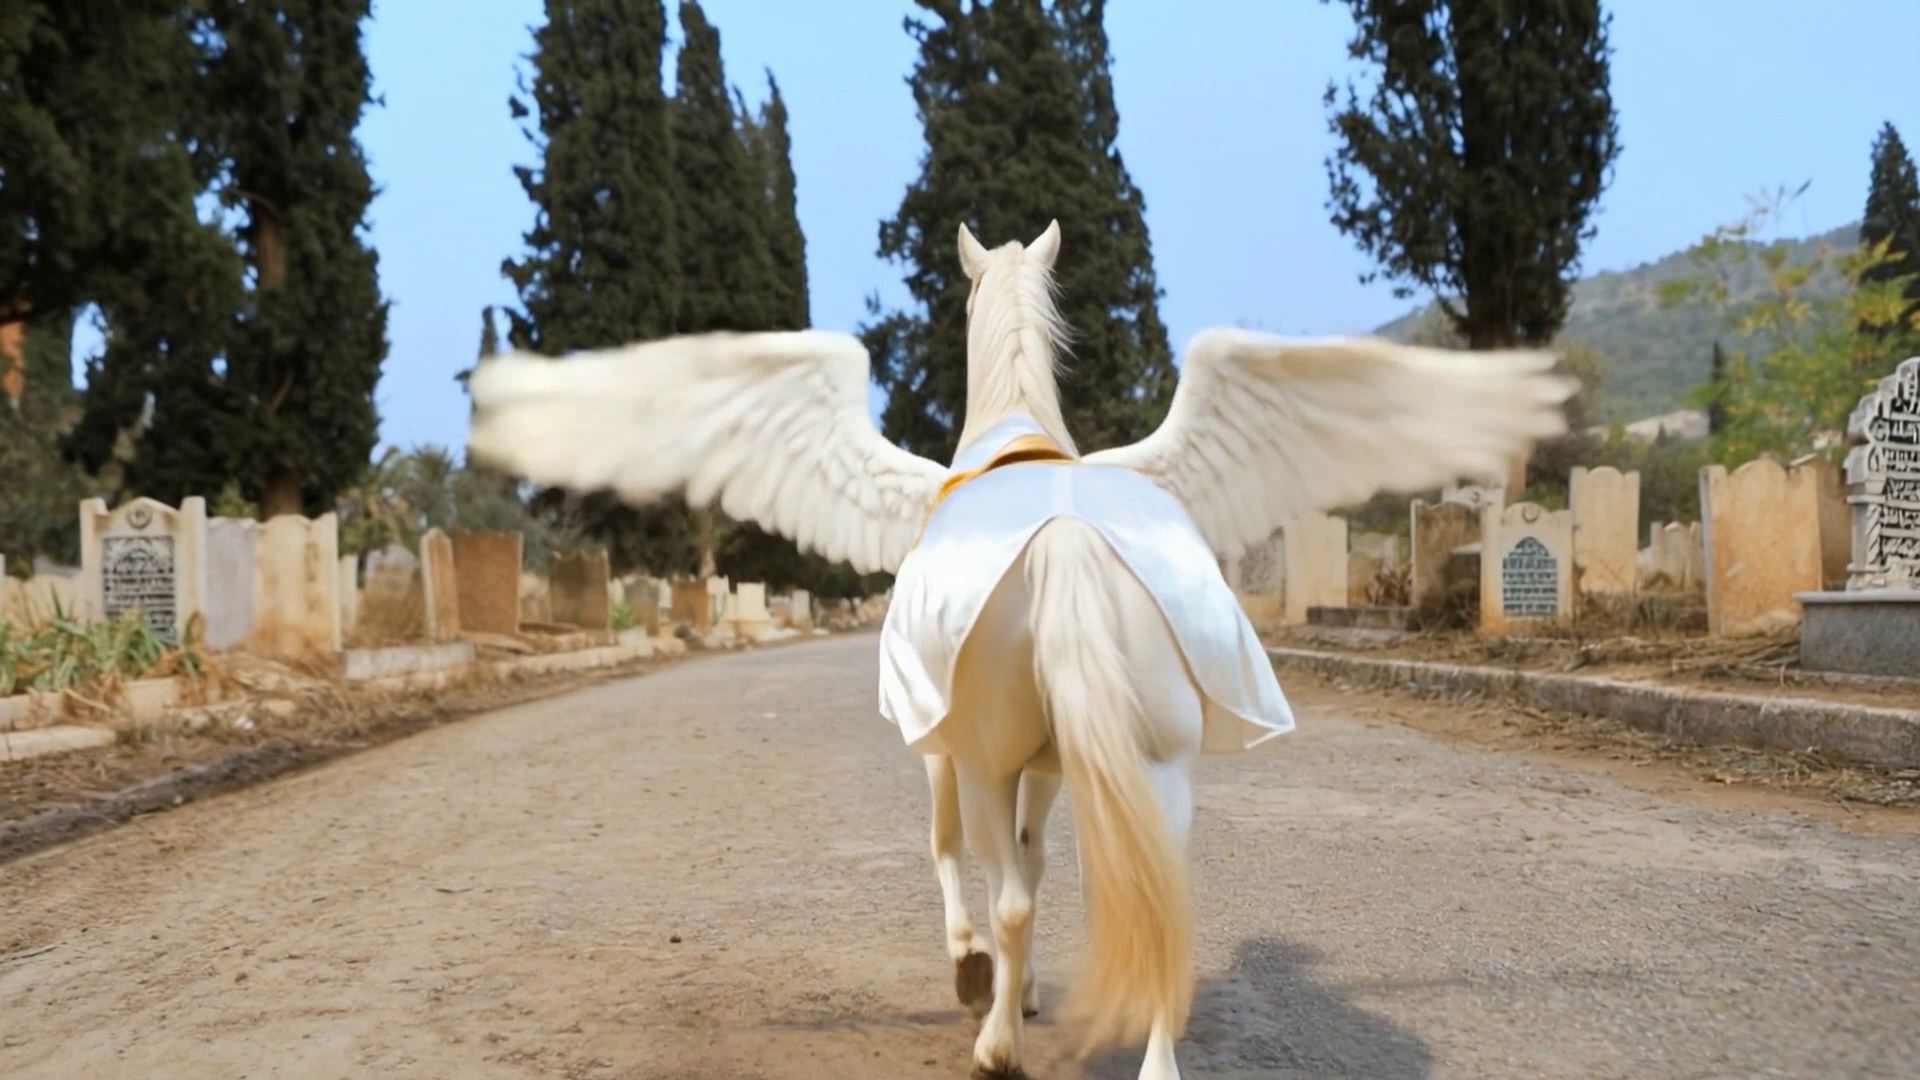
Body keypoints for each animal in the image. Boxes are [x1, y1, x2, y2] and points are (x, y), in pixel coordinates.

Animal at [463, 219, 1575, 1079]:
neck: (1017, 434)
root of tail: (1067, 538)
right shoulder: (1052, 764)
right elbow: (1044, 869)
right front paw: (1025, 987)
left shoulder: (955, 748)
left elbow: (962, 860)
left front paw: (980, 983)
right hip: (1154, 763)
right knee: (1155, 905)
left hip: (985, 753)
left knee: (997, 888)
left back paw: (993, 1041)